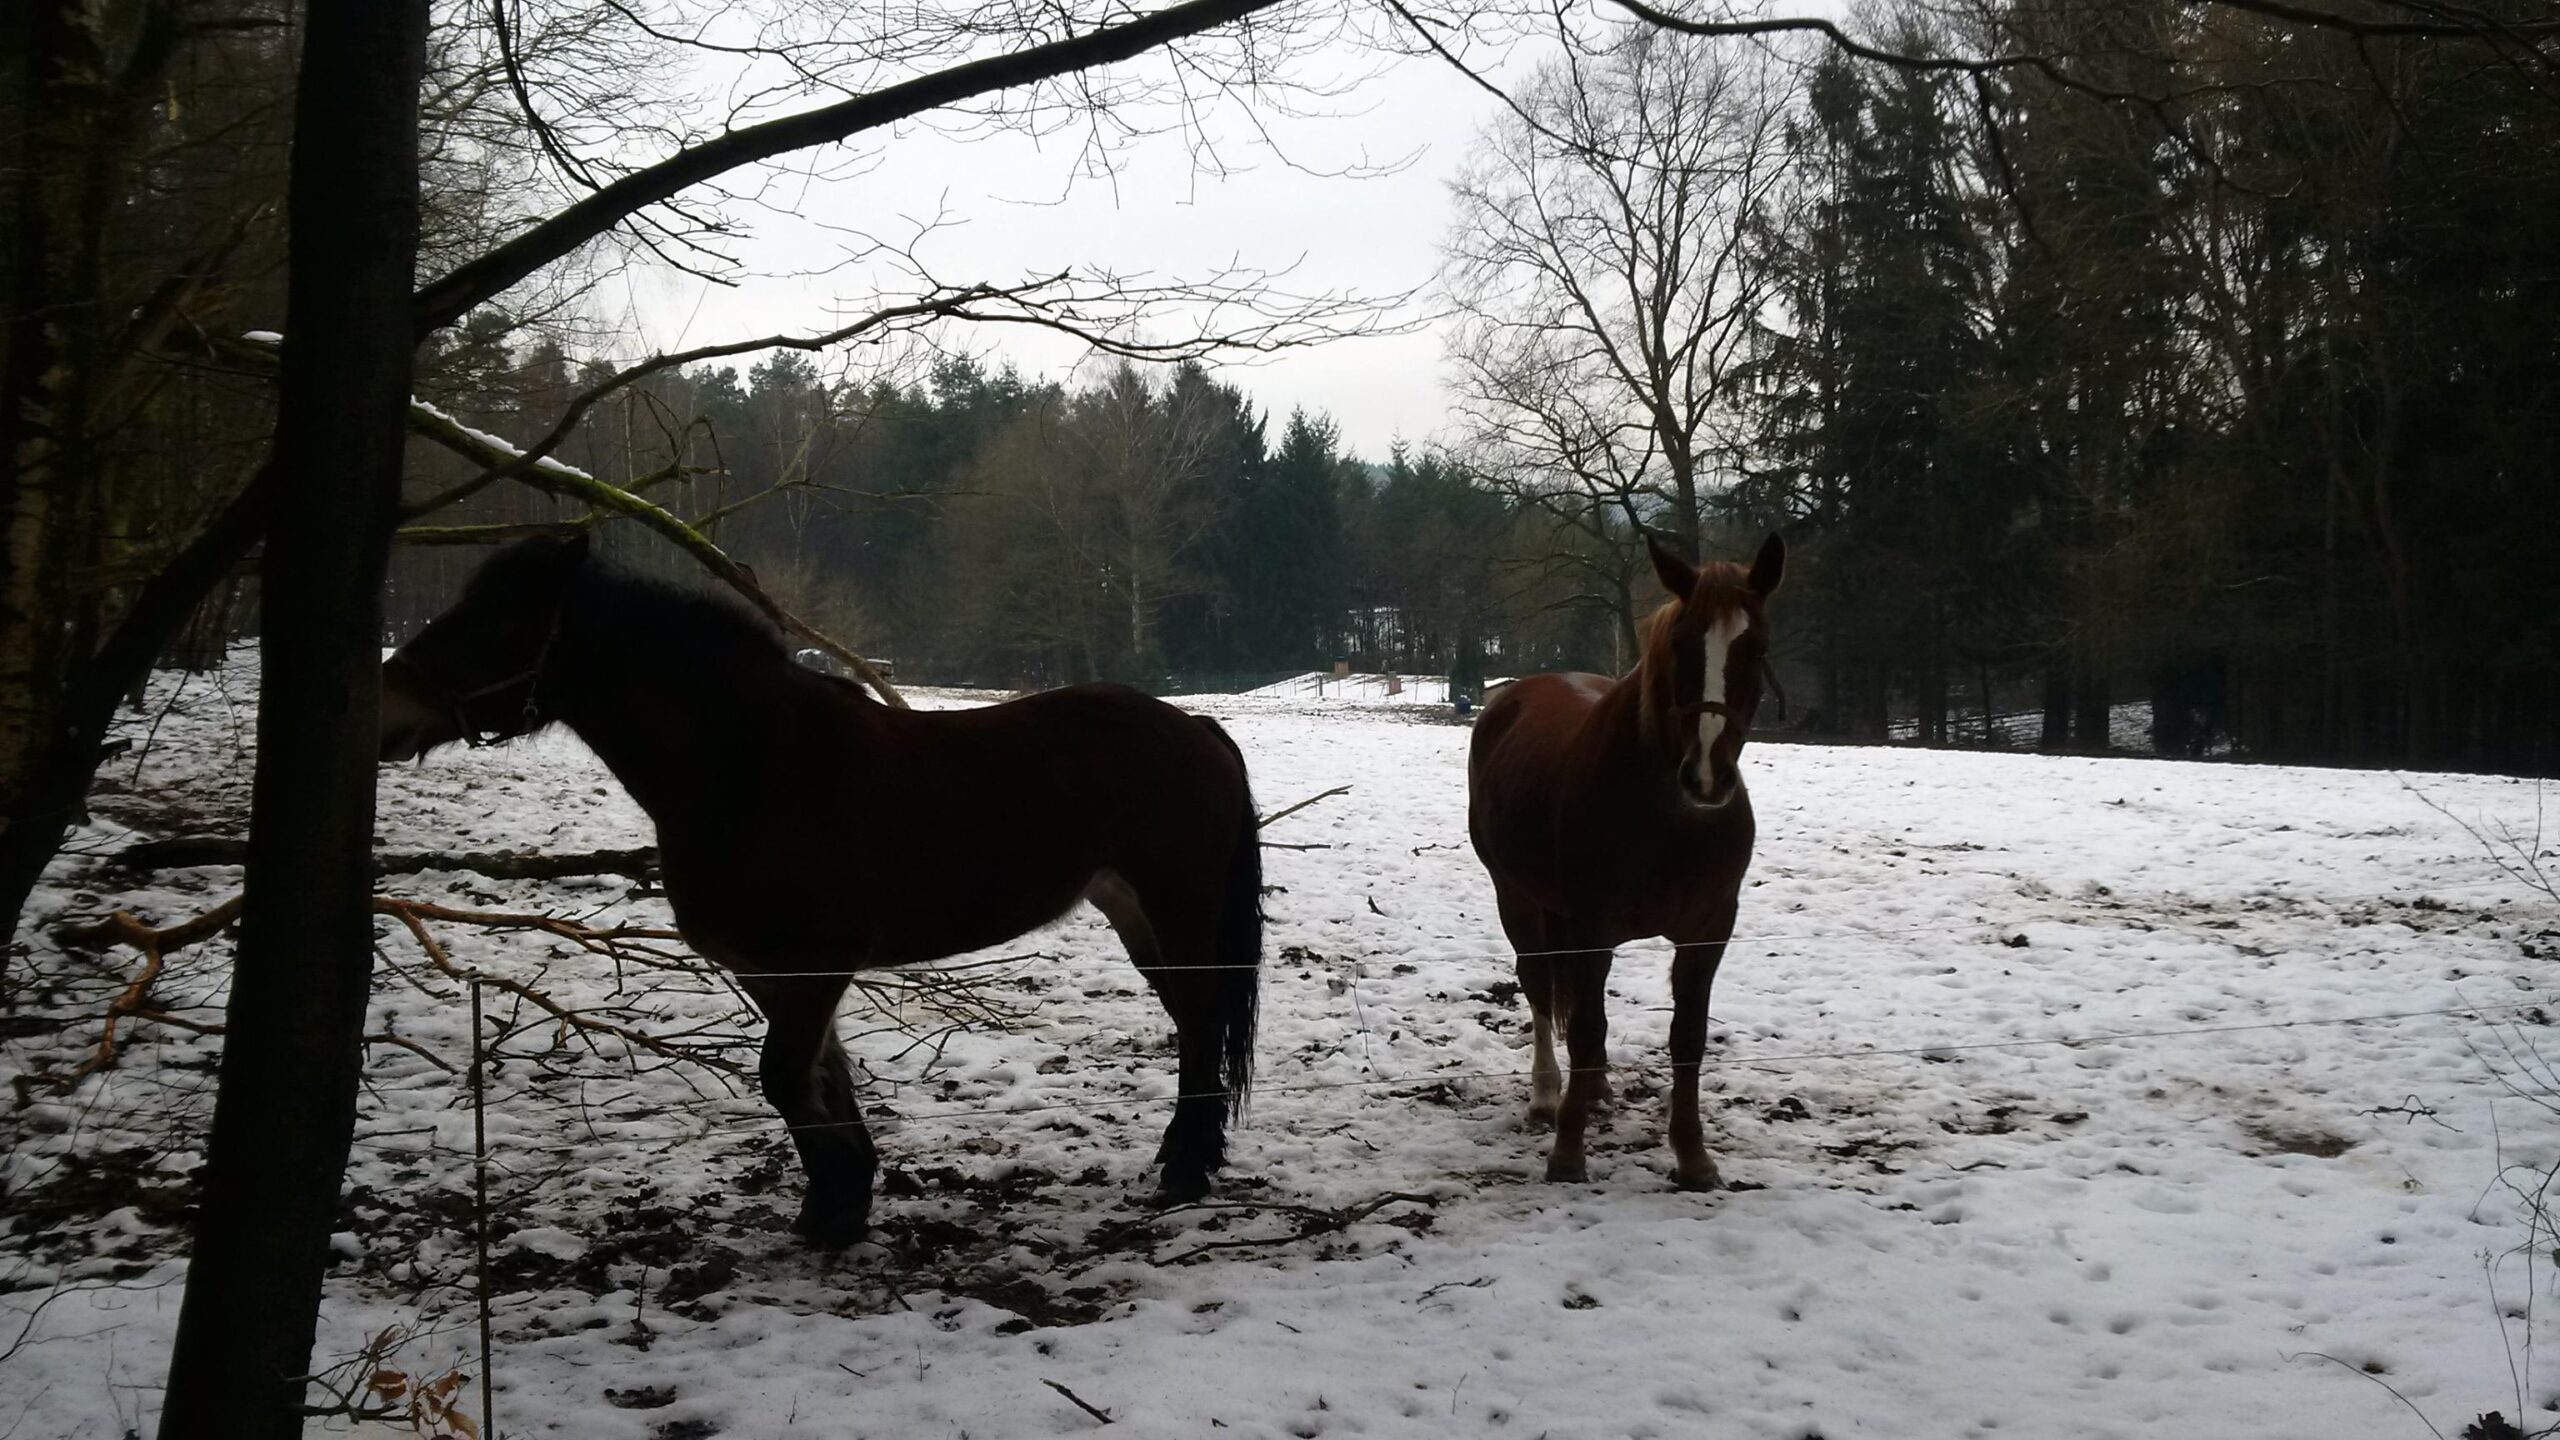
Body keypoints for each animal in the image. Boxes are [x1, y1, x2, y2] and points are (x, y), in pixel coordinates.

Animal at [378, 534, 1263, 1246]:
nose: (386, 709)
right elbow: (818, 1079)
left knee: (1201, 1020)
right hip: (1134, 913)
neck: (751, 766)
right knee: (1192, 1021)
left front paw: (840, 1208)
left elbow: (784, 1077)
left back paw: (1185, 1172)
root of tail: (1196, 728)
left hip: (1177, 906)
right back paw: (1184, 1156)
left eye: (493, 624)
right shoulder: (770, 970)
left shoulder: (815, 964)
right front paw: (839, 1199)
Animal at [1466, 532, 1783, 1191]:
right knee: (1540, 989)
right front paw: (1567, 1151)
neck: (1667, 816)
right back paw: (1548, 1096)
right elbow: (1584, 1028)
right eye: (1681, 644)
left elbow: (1685, 1037)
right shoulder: (1591, 925)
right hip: (1519, 899)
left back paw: (1595, 1090)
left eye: (1757, 647)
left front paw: (1693, 1157)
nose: (1707, 776)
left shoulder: (1707, 931)